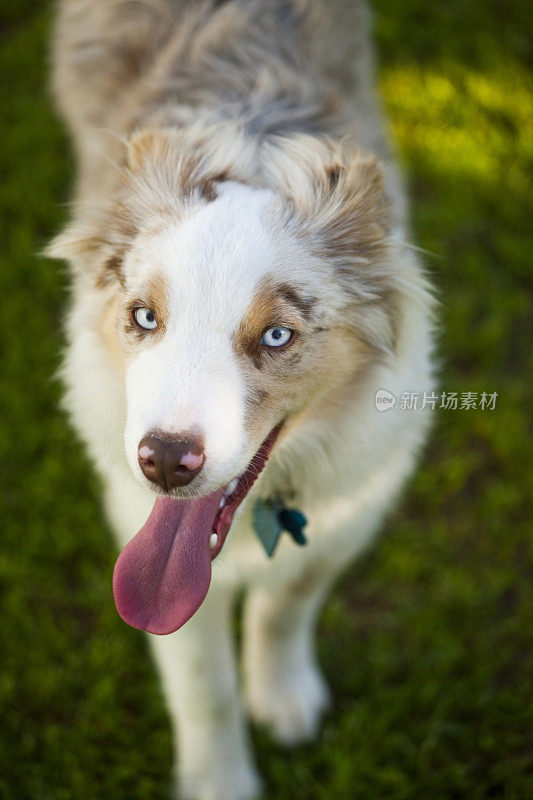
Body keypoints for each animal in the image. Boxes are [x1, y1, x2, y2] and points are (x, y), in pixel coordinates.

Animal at [47, 1, 434, 800]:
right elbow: (205, 686)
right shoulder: (136, 523)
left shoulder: (351, 505)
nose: (164, 462)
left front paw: (283, 698)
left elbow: (288, 605)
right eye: (143, 317)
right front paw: (221, 780)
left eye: (278, 334)